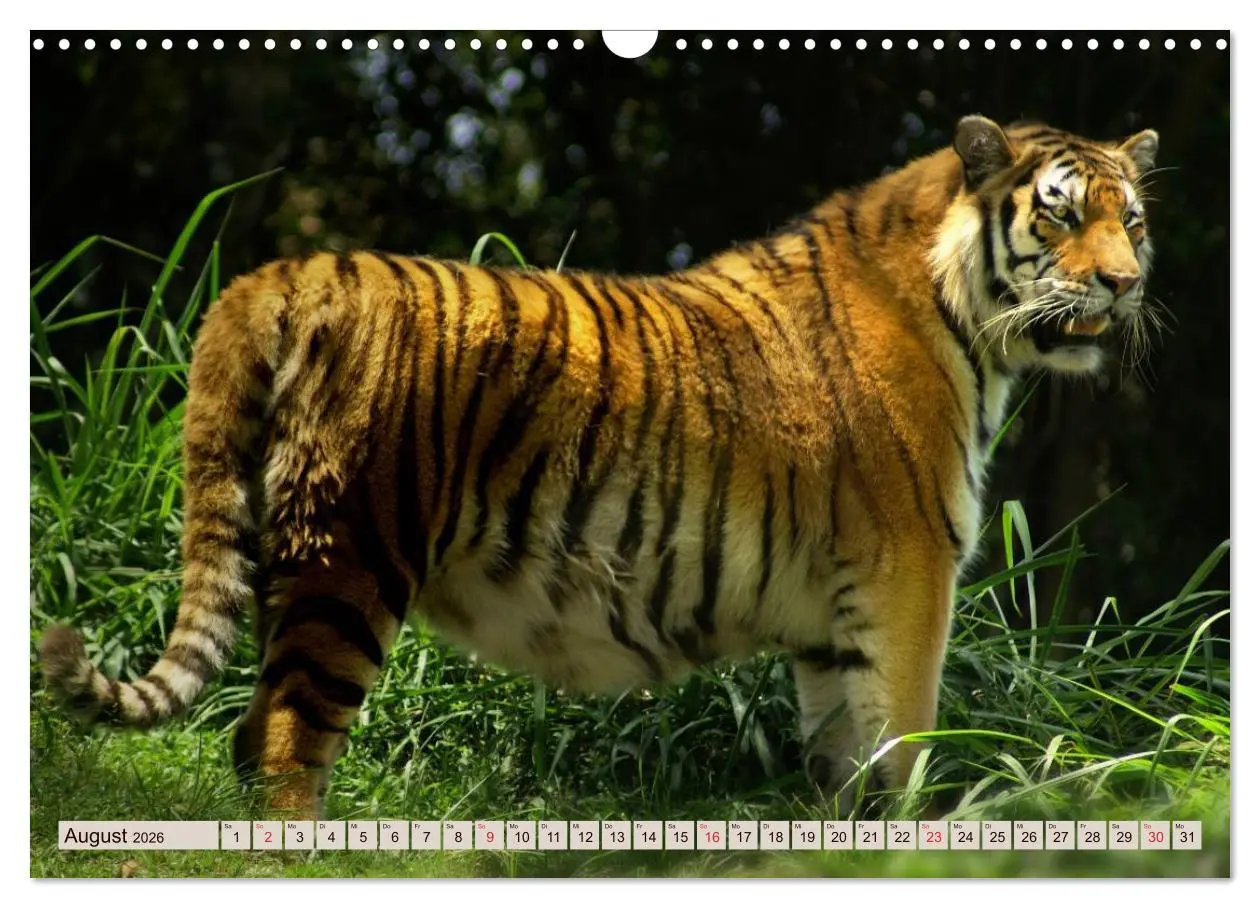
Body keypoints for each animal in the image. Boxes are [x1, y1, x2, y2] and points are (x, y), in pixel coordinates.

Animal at [39, 115, 1159, 818]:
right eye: (1061, 213)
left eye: (1133, 218)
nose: (1126, 282)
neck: (960, 314)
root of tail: (290, 267)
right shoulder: (911, 573)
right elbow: (904, 750)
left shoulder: (834, 621)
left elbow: (842, 767)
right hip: (349, 551)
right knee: (280, 740)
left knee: (246, 733)